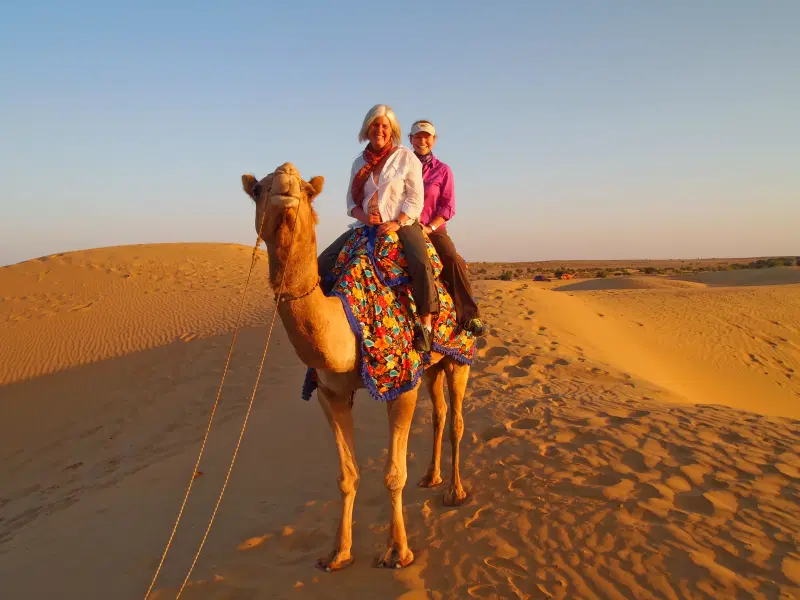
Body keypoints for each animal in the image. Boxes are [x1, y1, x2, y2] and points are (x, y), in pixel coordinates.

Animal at [240, 162, 471, 571]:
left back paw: (455, 492)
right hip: (431, 365)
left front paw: (398, 552)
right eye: (257, 190)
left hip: (461, 356)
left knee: (457, 419)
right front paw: (338, 553)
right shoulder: (330, 393)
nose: (286, 180)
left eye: (307, 189)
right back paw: (431, 477)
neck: (347, 325)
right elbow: (347, 476)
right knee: (440, 412)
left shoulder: (401, 384)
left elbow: (394, 474)